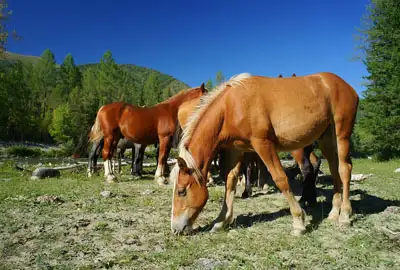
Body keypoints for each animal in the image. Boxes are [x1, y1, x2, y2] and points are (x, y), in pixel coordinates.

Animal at [170, 73, 358, 235]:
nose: (175, 228)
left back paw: (344, 215)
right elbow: (230, 181)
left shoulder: (263, 144)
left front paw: (298, 221)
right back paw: (333, 213)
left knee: (345, 169)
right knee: (334, 170)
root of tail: (344, 85)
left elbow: (280, 179)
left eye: (181, 191)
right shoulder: (236, 150)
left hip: (342, 134)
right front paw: (222, 221)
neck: (232, 105)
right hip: (326, 139)